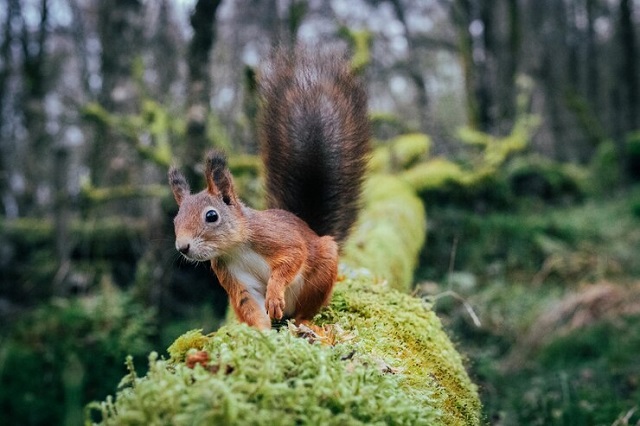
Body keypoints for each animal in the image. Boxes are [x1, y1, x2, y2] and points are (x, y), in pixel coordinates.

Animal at [168, 46, 370, 330]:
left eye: (211, 215)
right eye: (175, 220)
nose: (182, 247)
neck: (236, 247)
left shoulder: (277, 237)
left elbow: (291, 259)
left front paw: (274, 296)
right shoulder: (234, 277)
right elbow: (249, 305)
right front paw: (261, 332)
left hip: (321, 273)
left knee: (305, 310)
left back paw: (305, 324)